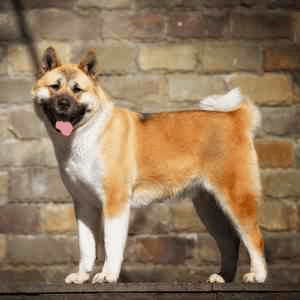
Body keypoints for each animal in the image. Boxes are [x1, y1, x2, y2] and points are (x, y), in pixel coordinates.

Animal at [32, 47, 268, 284]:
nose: (63, 103)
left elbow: (111, 245)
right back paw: (223, 277)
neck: (86, 133)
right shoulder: (84, 205)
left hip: (237, 199)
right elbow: (86, 247)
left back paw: (258, 275)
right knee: (230, 241)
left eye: (77, 90)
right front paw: (82, 276)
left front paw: (108, 275)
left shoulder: (115, 202)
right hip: (209, 207)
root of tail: (236, 118)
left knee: (254, 238)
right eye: (54, 87)